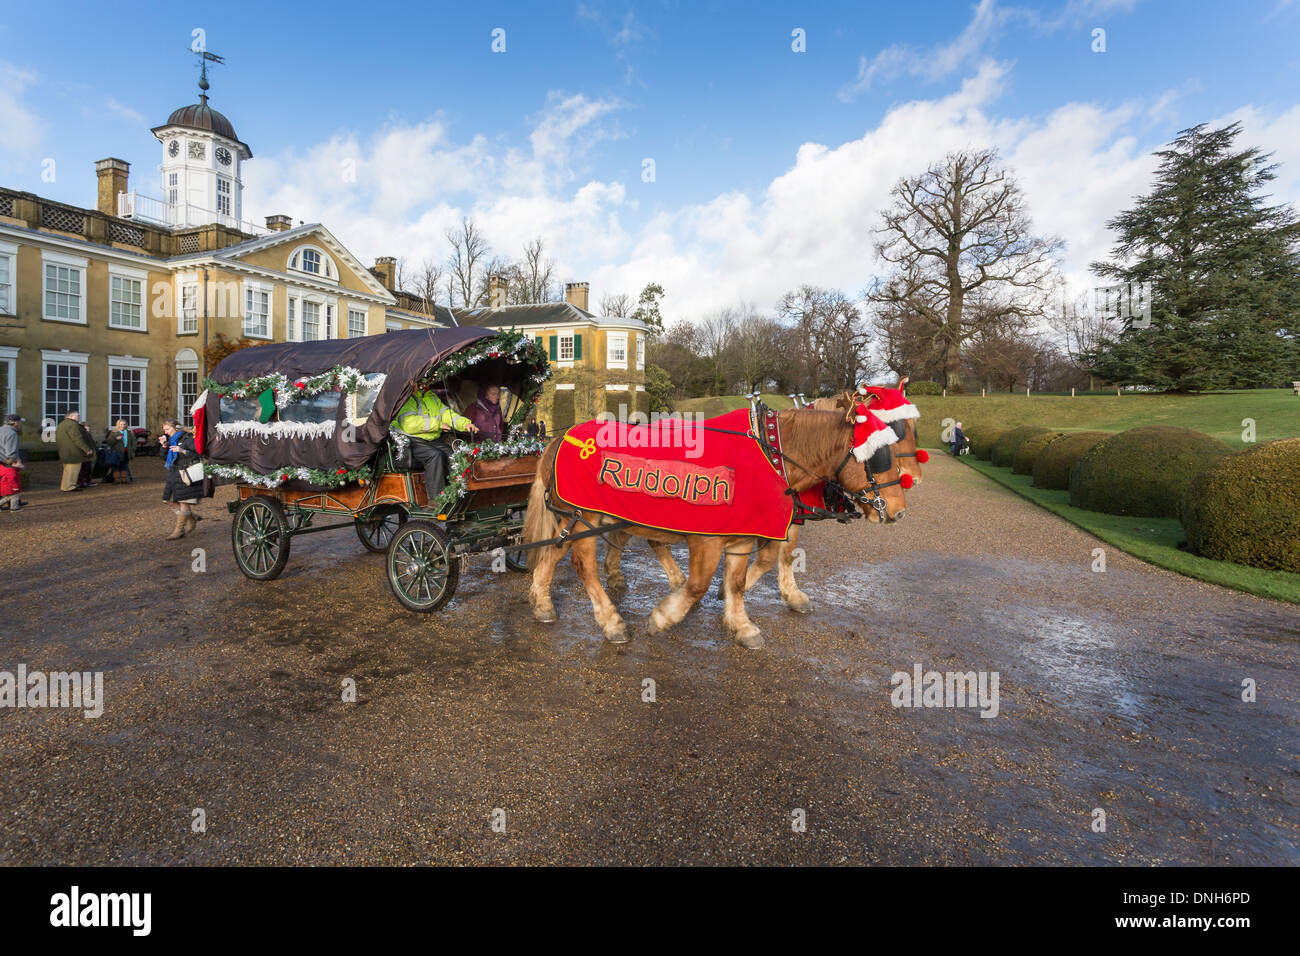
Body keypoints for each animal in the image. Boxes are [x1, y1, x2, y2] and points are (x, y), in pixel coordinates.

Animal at [522, 408, 909, 647]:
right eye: (879, 456)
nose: (899, 510)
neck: (770, 456)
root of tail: (563, 438)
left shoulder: (743, 536)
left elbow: (738, 581)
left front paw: (740, 623)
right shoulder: (706, 539)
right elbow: (697, 586)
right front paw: (664, 616)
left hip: (576, 517)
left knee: (554, 551)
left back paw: (542, 601)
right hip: (585, 516)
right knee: (583, 564)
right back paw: (611, 620)